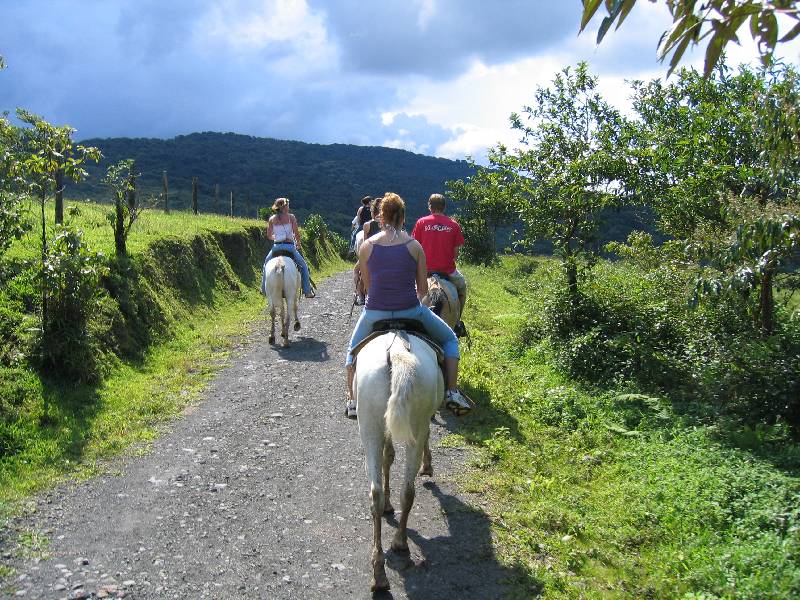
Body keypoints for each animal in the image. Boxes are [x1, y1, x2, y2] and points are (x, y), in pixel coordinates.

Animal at [356, 332, 444, 592]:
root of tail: (396, 355)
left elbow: (388, 457)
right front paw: (428, 466)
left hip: (370, 425)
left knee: (378, 493)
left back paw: (380, 572)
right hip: (413, 423)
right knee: (407, 489)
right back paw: (400, 543)